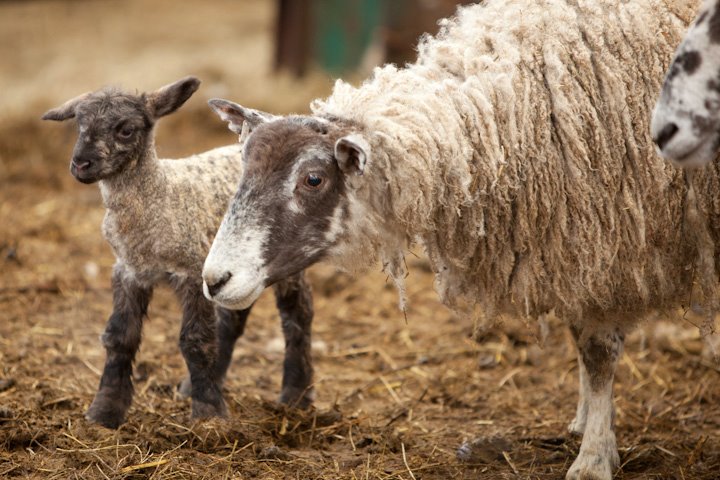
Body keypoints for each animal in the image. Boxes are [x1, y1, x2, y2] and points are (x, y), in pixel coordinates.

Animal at [41, 77, 316, 430]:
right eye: (79, 124)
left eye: (126, 129)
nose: (80, 164)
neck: (159, 195)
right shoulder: (129, 270)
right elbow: (119, 337)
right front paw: (104, 411)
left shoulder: (192, 269)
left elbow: (195, 341)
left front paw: (208, 414)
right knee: (233, 317)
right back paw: (196, 386)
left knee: (298, 313)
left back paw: (296, 395)